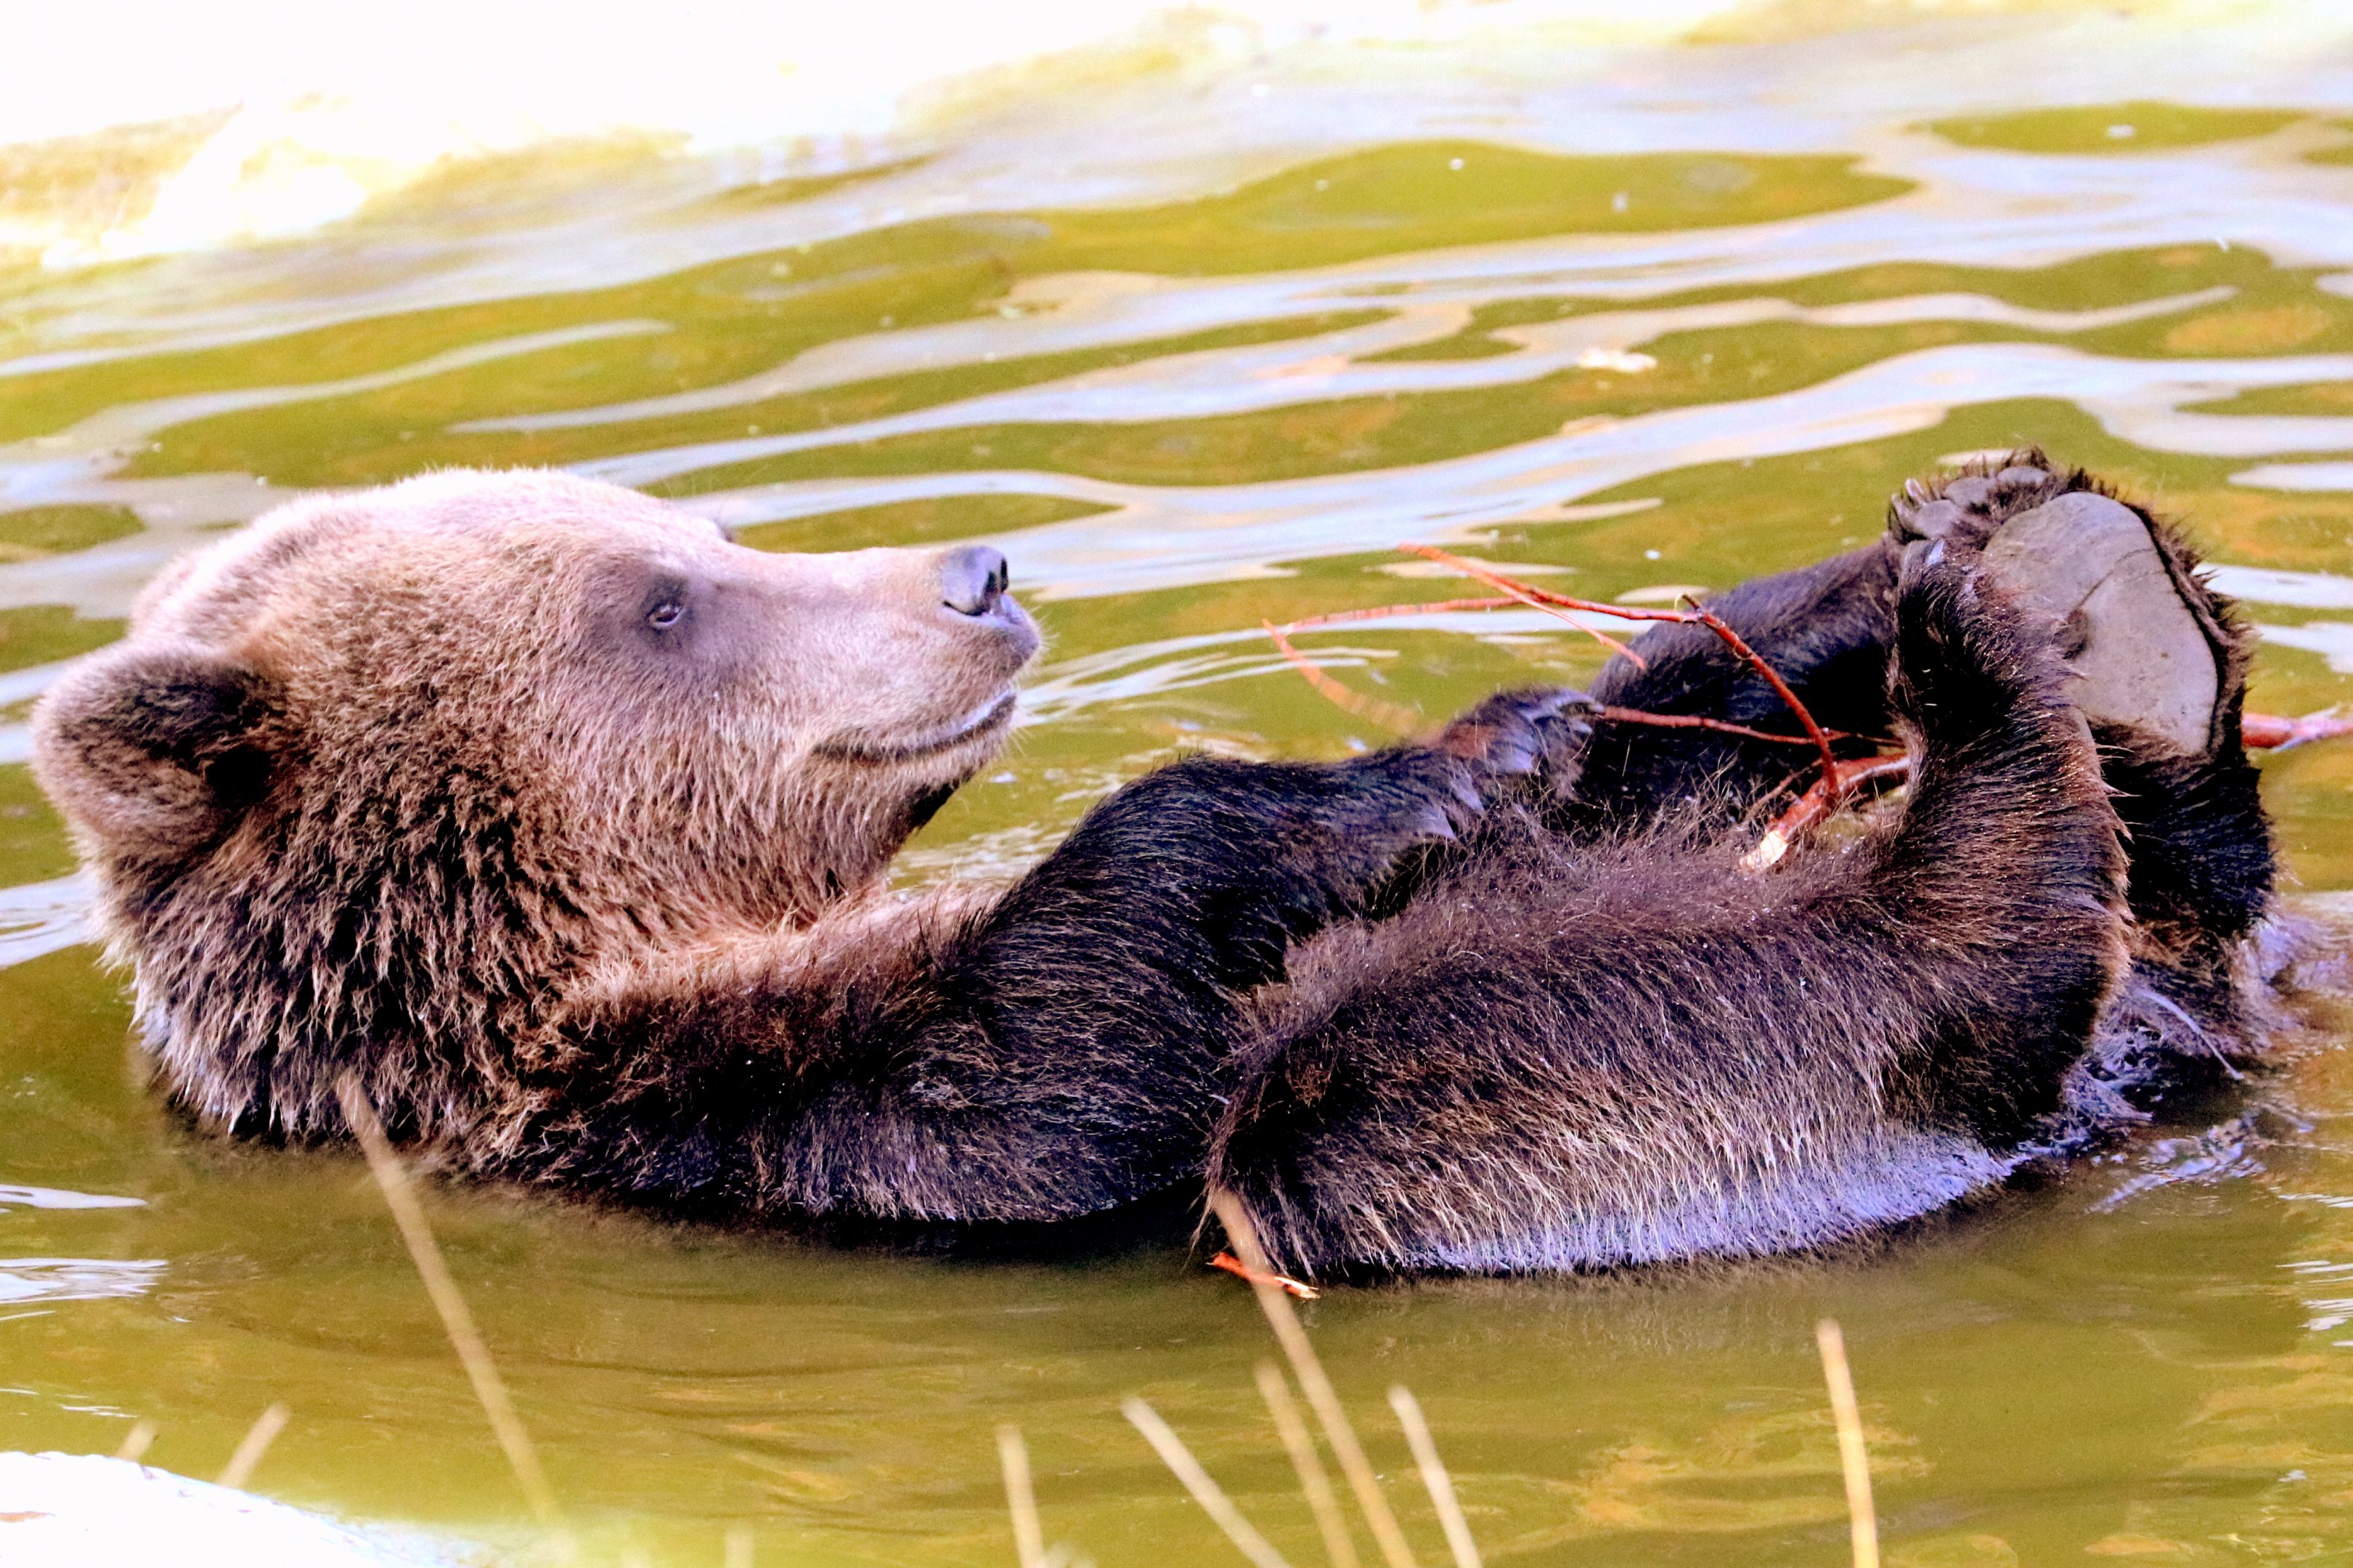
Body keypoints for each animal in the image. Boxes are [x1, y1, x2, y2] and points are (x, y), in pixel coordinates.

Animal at [26, 454, 2305, 1277]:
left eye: (701, 530)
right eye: (662, 599)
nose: (972, 573)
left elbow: (1607, 762)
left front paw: (1546, 718)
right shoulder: (708, 1105)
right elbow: (1064, 1043)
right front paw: (1386, 789)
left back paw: (2062, 583)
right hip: (1535, 1133)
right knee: (1405, 1088)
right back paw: (2001, 683)